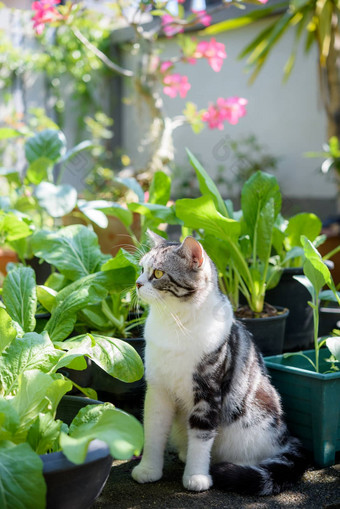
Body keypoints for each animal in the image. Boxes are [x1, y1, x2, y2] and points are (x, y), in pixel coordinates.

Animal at [131, 232, 306, 494]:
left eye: (158, 273)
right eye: (141, 269)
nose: (138, 283)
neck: (174, 322)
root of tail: (287, 438)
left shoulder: (209, 391)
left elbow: (202, 435)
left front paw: (196, 476)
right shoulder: (157, 390)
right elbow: (153, 430)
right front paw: (148, 470)